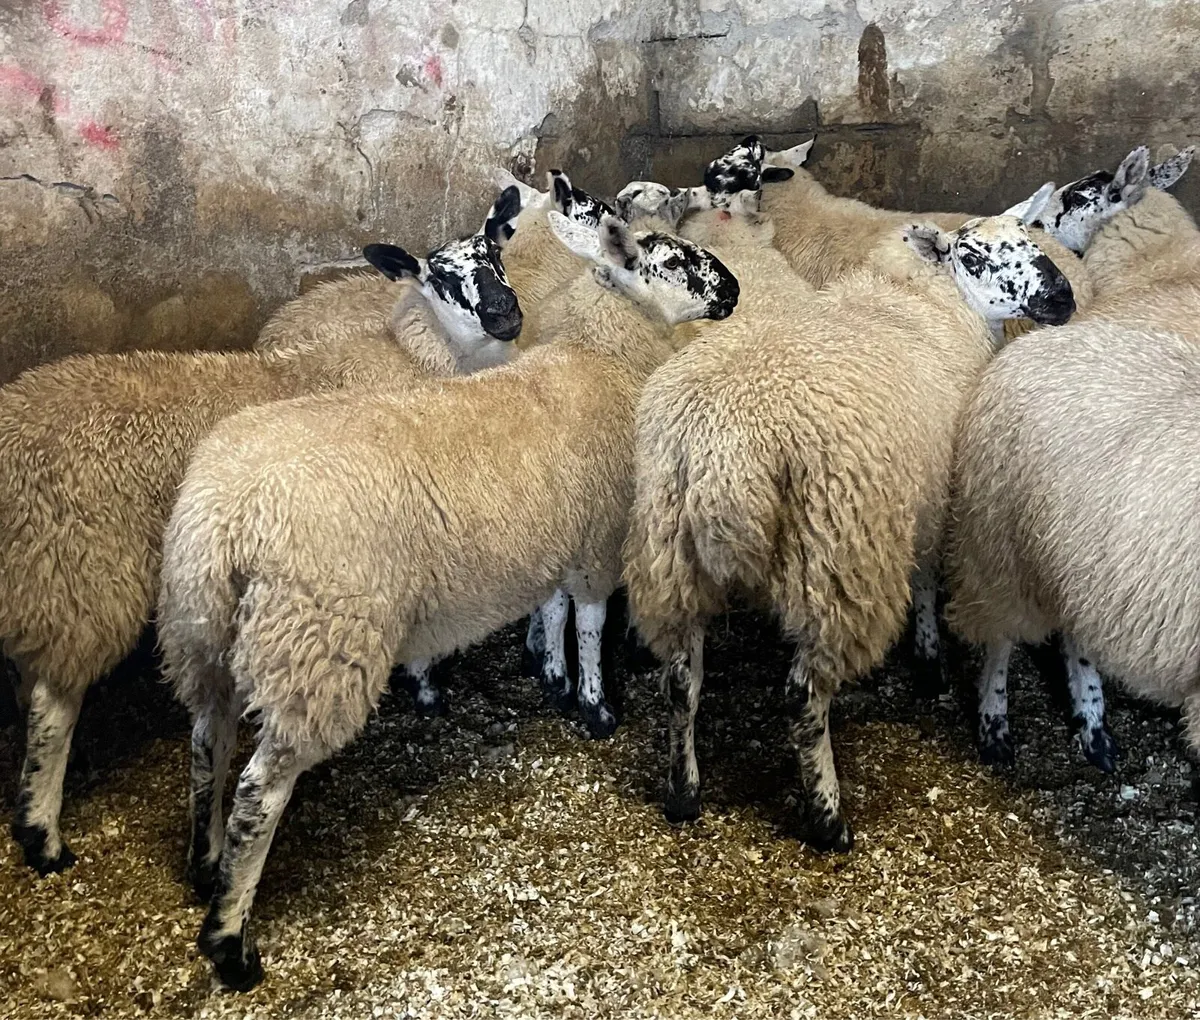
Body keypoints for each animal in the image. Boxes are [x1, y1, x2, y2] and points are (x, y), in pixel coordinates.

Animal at [0, 227, 522, 877]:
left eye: (497, 254)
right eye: (444, 278)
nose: (507, 315)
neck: (409, 356)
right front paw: (427, 687)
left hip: (52, 578)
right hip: (82, 569)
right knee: (52, 706)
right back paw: (43, 837)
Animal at [156, 211, 738, 990]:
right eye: (672, 260)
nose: (734, 288)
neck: (602, 356)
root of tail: (225, 517)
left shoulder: (552, 535)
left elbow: (551, 611)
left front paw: (552, 678)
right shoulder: (597, 538)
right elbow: (587, 621)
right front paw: (594, 706)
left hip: (201, 631)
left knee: (206, 740)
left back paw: (205, 863)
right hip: (317, 645)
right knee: (258, 794)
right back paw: (230, 941)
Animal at [624, 212, 1075, 853]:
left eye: (1032, 241)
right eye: (975, 257)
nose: (1063, 298)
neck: (925, 298)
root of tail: (725, 450)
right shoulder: (928, 497)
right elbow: (927, 577)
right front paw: (930, 659)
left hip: (668, 554)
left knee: (682, 682)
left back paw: (683, 794)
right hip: (838, 559)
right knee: (803, 698)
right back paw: (829, 819)